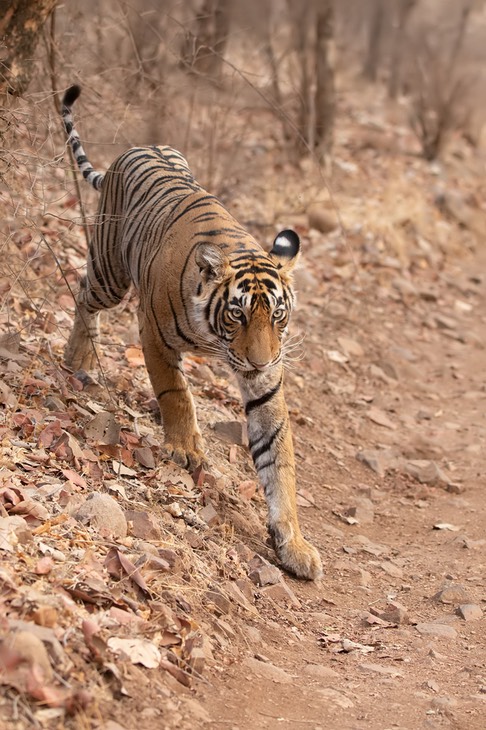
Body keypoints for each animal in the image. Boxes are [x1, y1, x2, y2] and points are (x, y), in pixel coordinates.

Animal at [60, 84, 320, 580]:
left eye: (277, 315)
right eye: (238, 315)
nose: (260, 360)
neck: (217, 339)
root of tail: (135, 148)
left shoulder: (265, 382)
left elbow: (279, 460)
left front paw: (295, 545)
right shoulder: (154, 332)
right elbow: (175, 391)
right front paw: (184, 448)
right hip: (110, 273)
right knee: (83, 294)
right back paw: (77, 359)